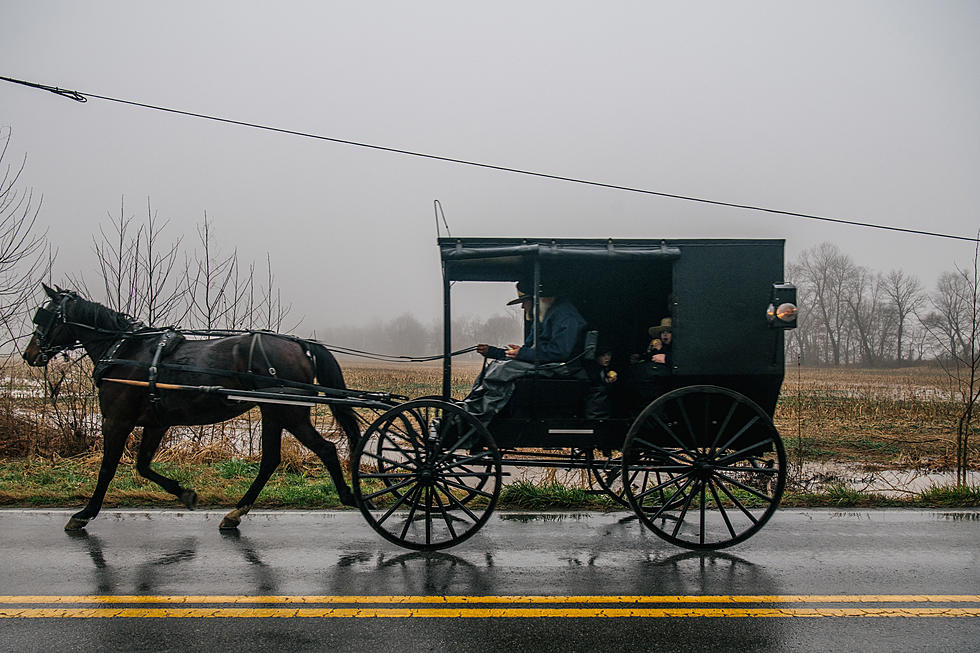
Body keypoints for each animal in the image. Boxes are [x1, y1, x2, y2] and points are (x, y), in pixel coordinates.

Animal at [23, 284, 360, 528]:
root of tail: (300, 345)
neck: (124, 350)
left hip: (289, 411)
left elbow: (107, 469)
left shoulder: (117, 421)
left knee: (326, 449)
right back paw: (236, 512)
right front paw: (185, 493)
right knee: (270, 460)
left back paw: (349, 496)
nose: (29, 354)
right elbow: (143, 466)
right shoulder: (156, 422)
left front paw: (85, 513)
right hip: (273, 410)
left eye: (45, 316)